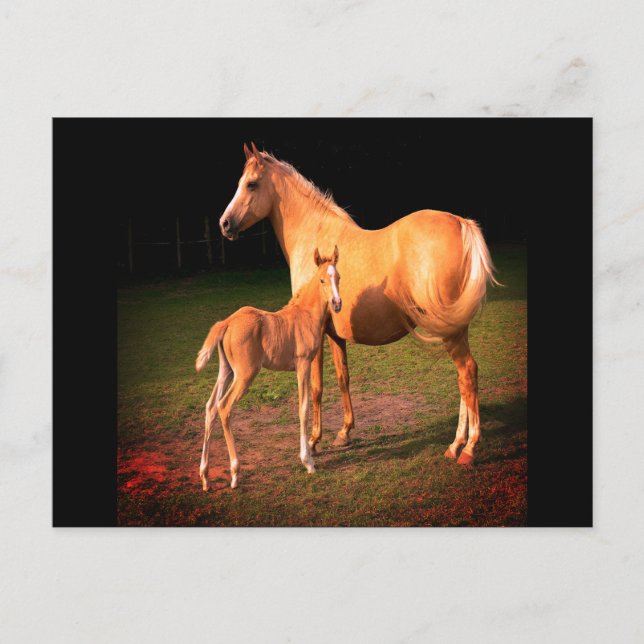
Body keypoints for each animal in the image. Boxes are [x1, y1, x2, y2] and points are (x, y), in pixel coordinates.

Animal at [195, 246, 342, 490]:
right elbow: (303, 408)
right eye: (322, 279)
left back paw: (205, 476)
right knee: (224, 406)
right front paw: (308, 462)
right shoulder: (303, 364)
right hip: (245, 374)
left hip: (227, 371)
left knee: (210, 407)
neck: (305, 315)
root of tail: (227, 322)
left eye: (338, 277)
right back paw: (235, 473)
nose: (337, 303)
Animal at [218, 142, 498, 466]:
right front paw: (344, 433)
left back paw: (467, 448)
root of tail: (460, 223)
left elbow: (316, 388)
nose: (225, 224)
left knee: (467, 373)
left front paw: (313, 442)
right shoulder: (335, 334)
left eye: (251, 184)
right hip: (455, 328)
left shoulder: (315, 336)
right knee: (464, 379)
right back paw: (455, 445)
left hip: (450, 331)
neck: (315, 234)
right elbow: (343, 378)